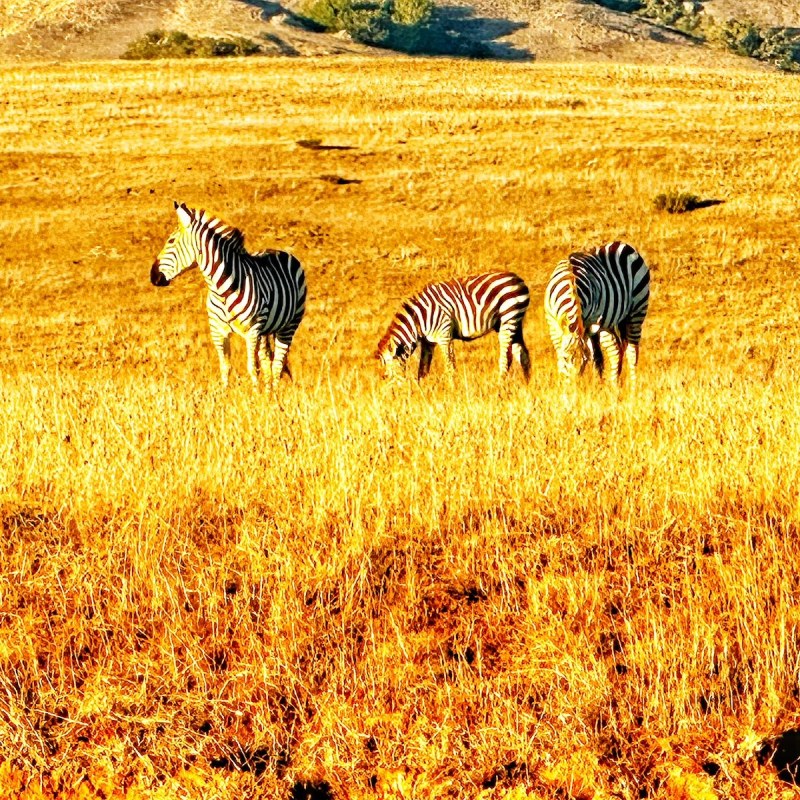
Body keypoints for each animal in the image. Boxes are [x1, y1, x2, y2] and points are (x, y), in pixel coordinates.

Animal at [150, 202, 306, 386]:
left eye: (171, 241)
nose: (152, 276)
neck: (221, 291)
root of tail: (280, 251)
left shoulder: (252, 331)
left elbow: (252, 368)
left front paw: (255, 393)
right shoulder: (218, 332)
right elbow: (225, 367)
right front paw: (224, 392)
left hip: (289, 325)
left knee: (277, 365)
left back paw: (275, 392)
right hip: (265, 330)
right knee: (267, 361)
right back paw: (269, 391)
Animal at [376, 274, 532, 382]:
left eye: (389, 366)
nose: (394, 395)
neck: (418, 320)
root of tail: (517, 278)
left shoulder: (444, 335)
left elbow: (449, 366)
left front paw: (452, 390)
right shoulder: (428, 342)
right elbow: (423, 369)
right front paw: (423, 392)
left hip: (509, 318)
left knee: (506, 357)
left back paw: (500, 385)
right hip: (513, 323)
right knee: (522, 354)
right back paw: (527, 385)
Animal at [544, 239, 648, 386]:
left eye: (583, 361)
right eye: (567, 358)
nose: (573, 387)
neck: (572, 286)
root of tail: (622, 244)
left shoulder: (589, 323)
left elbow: (597, 358)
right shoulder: (553, 324)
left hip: (637, 309)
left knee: (632, 351)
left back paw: (633, 388)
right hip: (608, 322)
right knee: (616, 351)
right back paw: (614, 386)